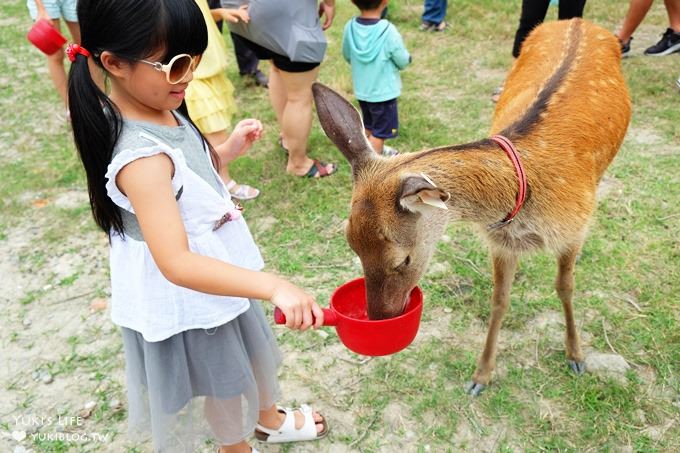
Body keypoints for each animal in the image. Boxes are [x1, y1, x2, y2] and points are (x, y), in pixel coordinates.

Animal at [314, 17, 632, 394]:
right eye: (351, 245)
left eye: (402, 259)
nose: (380, 318)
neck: (523, 199)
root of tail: (578, 20)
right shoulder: (500, 240)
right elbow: (499, 299)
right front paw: (481, 375)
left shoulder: (573, 227)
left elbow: (565, 287)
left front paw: (576, 356)